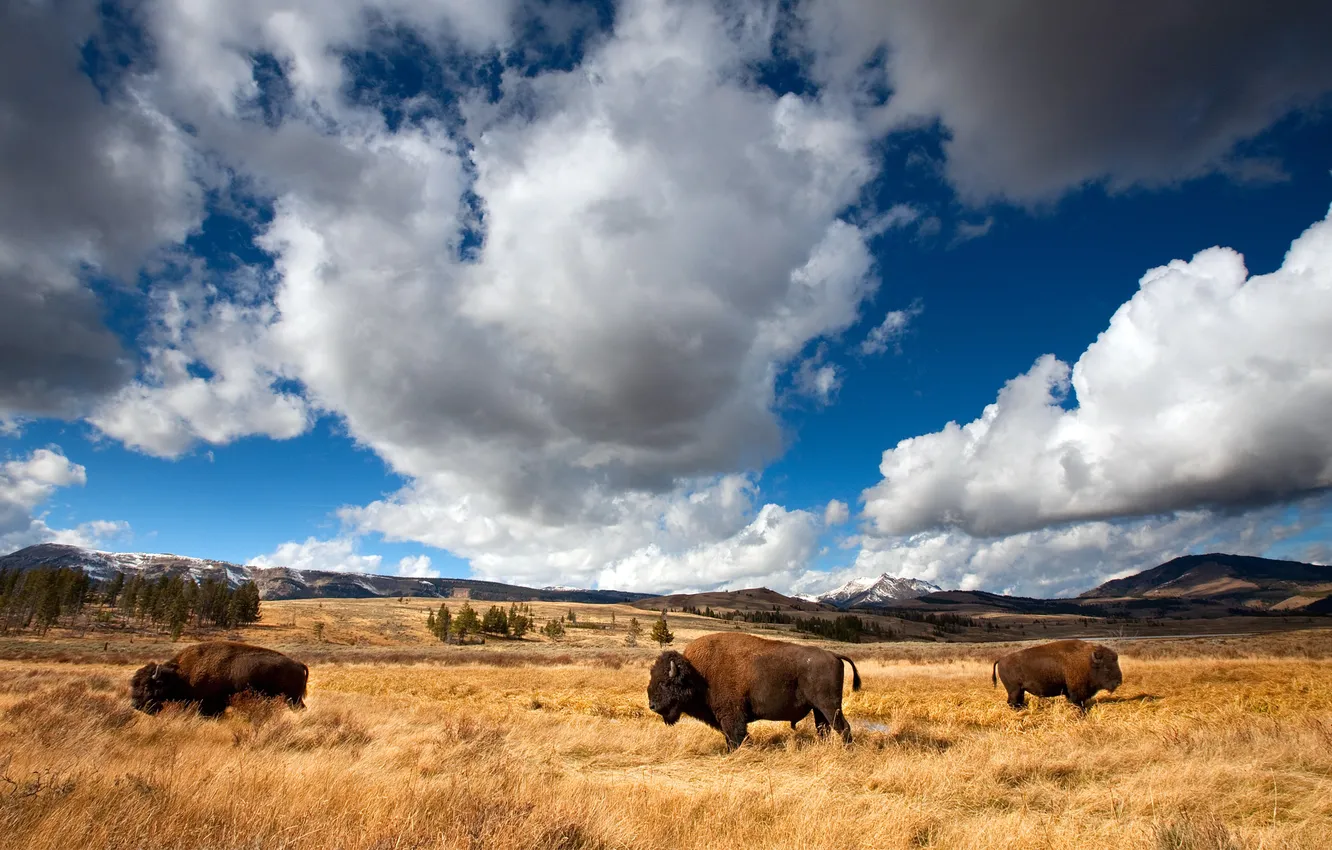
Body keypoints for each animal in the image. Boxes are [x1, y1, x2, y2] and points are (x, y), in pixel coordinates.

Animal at [130, 640, 308, 716]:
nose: (135, 705)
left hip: (292, 699)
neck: (180, 675)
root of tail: (298, 664)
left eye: (147, 686)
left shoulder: (209, 704)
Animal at [647, 632, 861, 751]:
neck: (697, 673)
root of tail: (833, 654)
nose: (652, 705)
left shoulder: (732, 717)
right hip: (819, 709)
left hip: (830, 706)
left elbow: (736, 737)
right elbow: (729, 738)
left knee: (843, 727)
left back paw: (848, 751)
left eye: (665, 683)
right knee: (824, 729)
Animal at [992, 639, 1122, 712]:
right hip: (1014, 690)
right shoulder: (1077, 692)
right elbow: (1079, 703)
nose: (1118, 682)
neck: (1088, 661)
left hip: (1019, 690)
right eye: (1106, 667)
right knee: (1013, 702)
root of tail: (1001, 659)